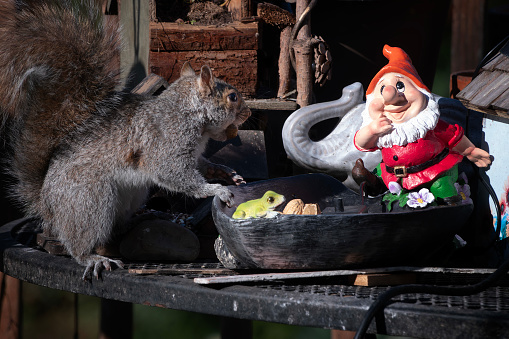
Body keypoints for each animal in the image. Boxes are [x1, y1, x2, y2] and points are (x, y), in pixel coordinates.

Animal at [0, 0, 250, 280]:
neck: (187, 112)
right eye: (232, 97)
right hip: (90, 200)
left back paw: (140, 219)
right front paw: (216, 190)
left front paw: (226, 173)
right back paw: (92, 257)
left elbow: (203, 165)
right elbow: (173, 174)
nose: (249, 112)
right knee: (80, 241)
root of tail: (46, 202)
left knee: (117, 228)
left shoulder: (193, 153)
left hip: (131, 194)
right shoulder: (166, 142)